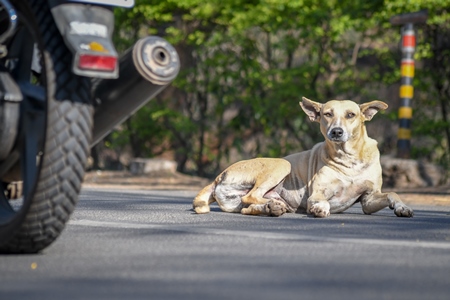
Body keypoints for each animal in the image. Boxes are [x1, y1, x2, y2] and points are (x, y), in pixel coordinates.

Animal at [192, 98, 414, 218]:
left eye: (351, 115)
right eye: (327, 114)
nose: (336, 132)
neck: (348, 159)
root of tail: (218, 177)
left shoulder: (369, 199)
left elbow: (392, 193)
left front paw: (402, 207)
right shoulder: (317, 193)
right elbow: (321, 201)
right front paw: (319, 208)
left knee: (248, 208)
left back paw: (271, 207)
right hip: (282, 164)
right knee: (251, 196)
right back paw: (276, 205)